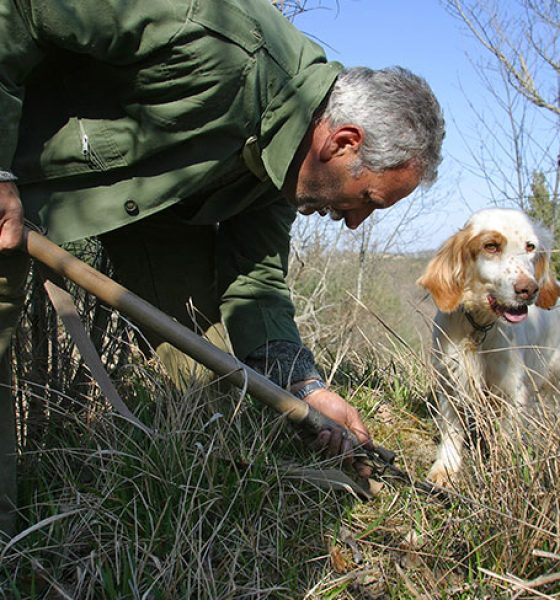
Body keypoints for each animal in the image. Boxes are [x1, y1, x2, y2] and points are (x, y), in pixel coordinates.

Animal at [418, 209, 556, 486]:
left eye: (530, 246)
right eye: (491, 246)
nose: (529, 289)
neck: (478, 329)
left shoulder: (512, 393)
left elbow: (505, 440)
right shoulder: (451, 380)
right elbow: (451, 431)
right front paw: (445, 469)